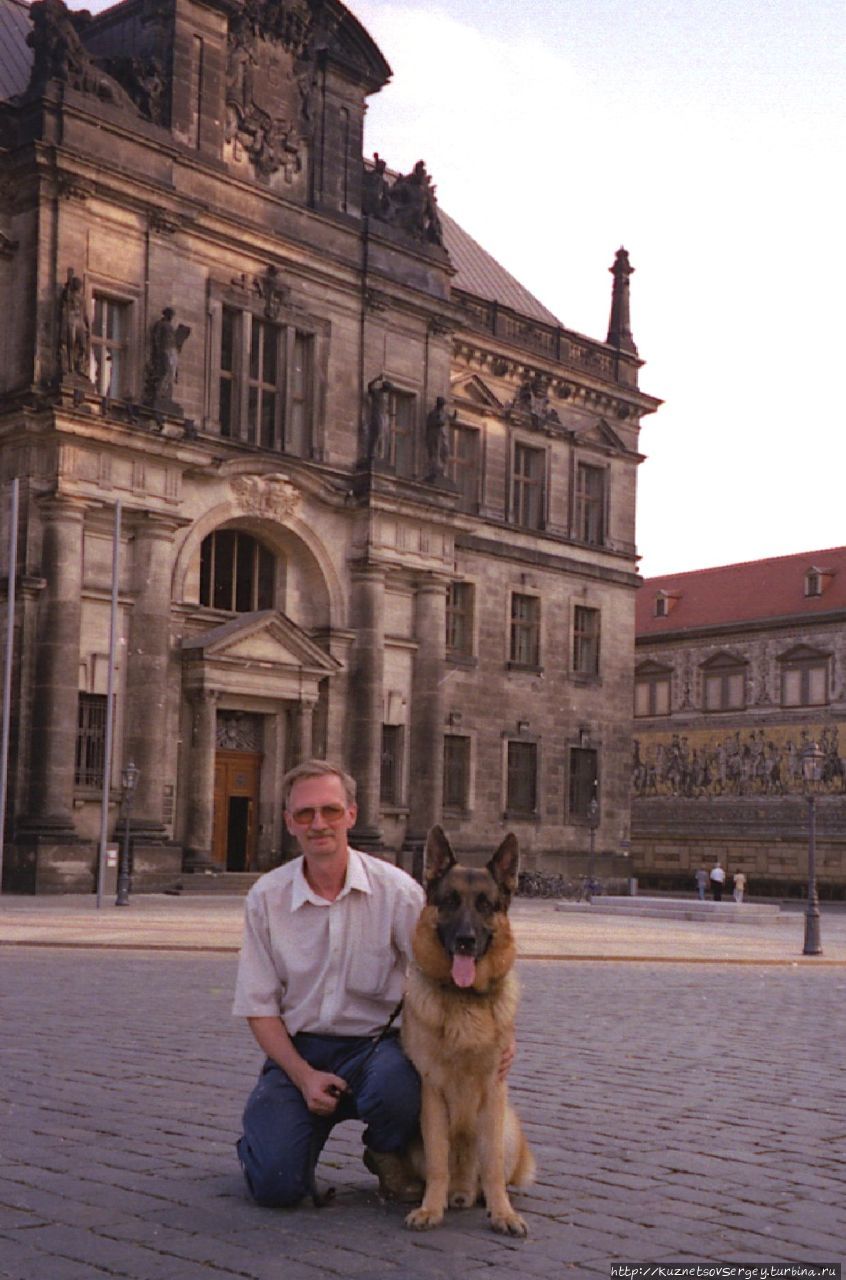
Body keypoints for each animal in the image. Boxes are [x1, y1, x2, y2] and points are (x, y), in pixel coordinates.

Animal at [399, 824, 532, 1233]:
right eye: (451, 901)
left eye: (486, 905)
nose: (466, 941)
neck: (465, 1001)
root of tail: (463, 1190)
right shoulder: (432, 1094)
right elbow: (438, 1161)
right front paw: (430, 1208)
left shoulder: (493, 1093)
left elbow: (492, 1169)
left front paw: (503, 1213)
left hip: (508, 1125)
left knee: (491, 1175)